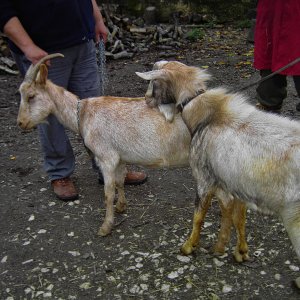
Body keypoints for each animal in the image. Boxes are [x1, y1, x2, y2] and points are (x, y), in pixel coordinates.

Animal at [17, 54, 247, 258]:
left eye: (31, 96)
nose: (21, 123)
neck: (81, 114)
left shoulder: (106, 157)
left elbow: (108, 192)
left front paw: (105, 226)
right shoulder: (119, 158)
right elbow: (120, 181)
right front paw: (121, 207)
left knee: (227, 200)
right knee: (230, 201)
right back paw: (229, 248)